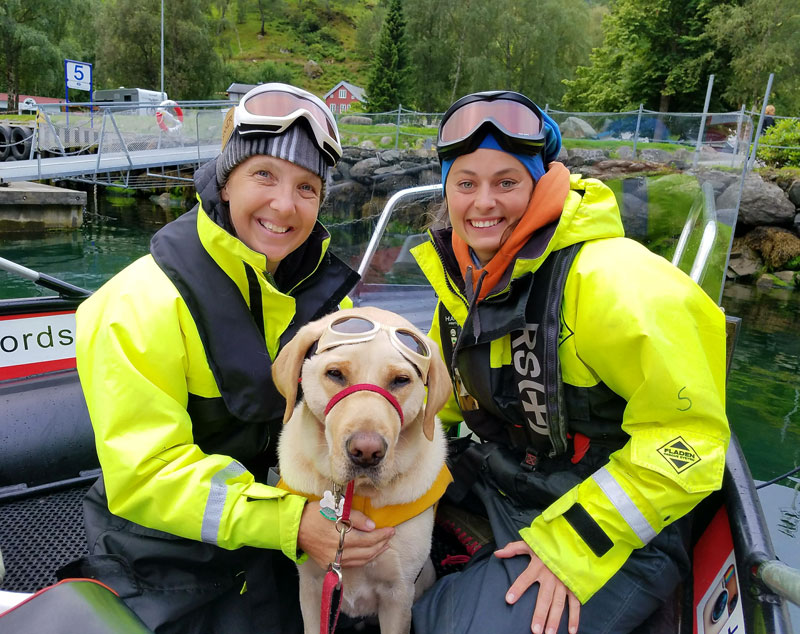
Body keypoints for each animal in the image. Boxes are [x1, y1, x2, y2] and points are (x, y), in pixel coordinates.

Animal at [272, 306, 454, 632]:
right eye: (335, 374)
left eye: (400, 380)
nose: (366, 453)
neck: (354, 495)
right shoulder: (312, 587)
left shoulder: (398, 595)